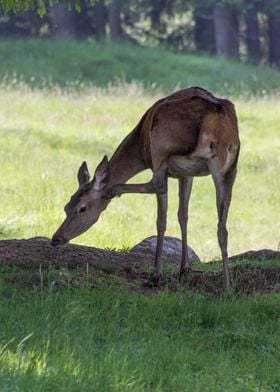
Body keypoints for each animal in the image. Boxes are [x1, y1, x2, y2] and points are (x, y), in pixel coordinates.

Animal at [51, 86, 240, 294]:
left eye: (82, 208)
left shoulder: (167, 166)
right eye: (66, 207)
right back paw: (228, 289)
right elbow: (183, 215)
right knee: (222, 228)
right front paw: (184, 270)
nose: (56, 239)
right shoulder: (186, 174)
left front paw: (157, 275)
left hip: (161, 147)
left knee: (158, 184)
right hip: (229, 168)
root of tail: (216, 121)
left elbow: (162, 220)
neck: (139, 146)